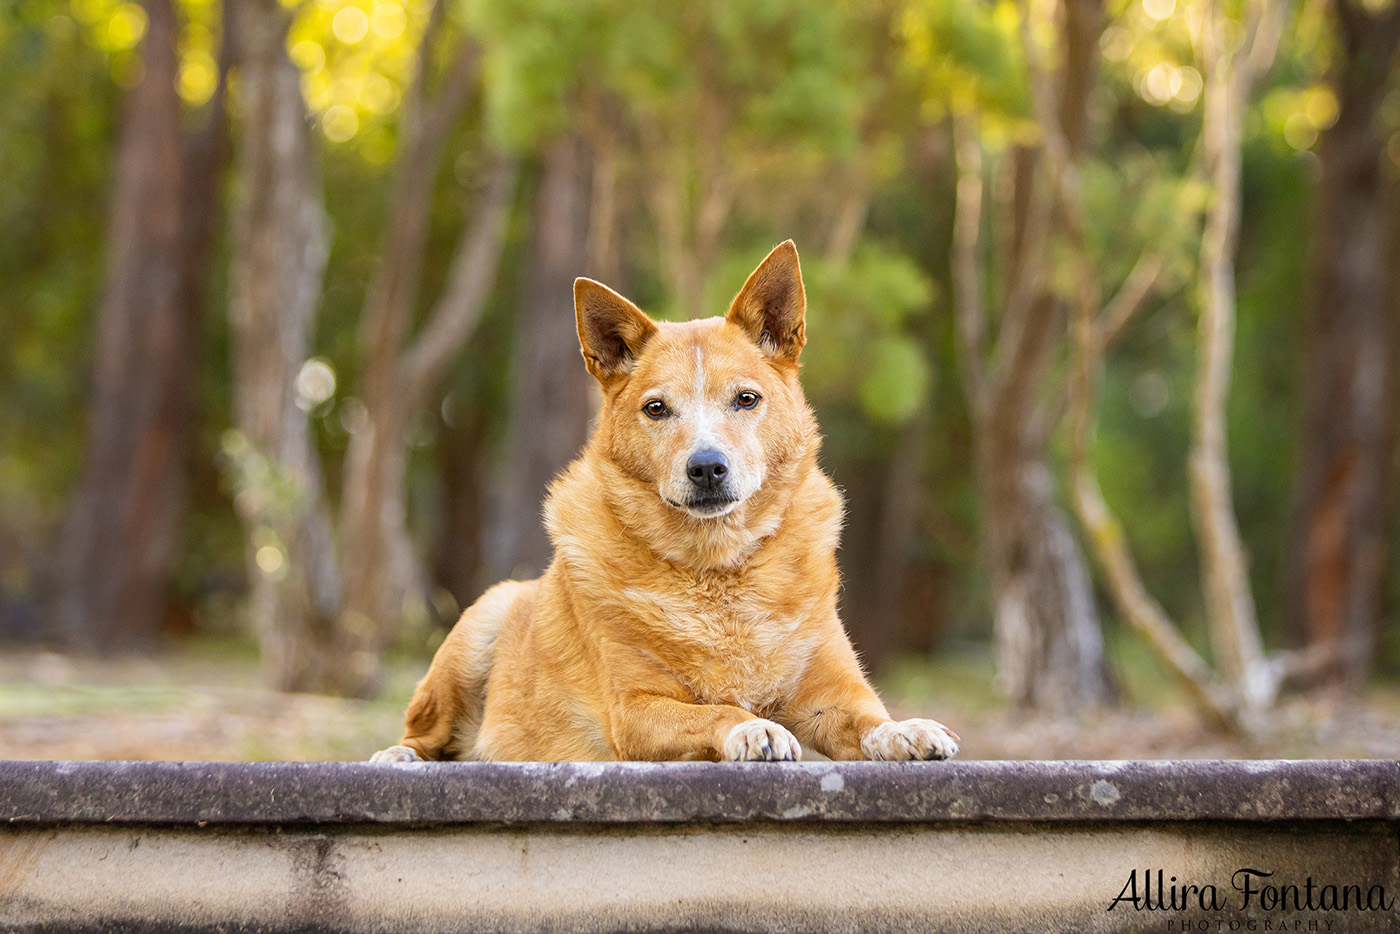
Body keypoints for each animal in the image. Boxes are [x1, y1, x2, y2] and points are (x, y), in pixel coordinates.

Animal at [372, 243, 957, 767]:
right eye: (656, 408)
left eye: (746, 399)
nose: (706, 467)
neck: (719, 572)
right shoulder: (635, 711)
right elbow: (717, 710)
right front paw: (754, 729)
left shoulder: (831, 695)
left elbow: (871, 719)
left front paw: (908, 730)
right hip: (479, 623)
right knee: (425, 734)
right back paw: (398, 757)